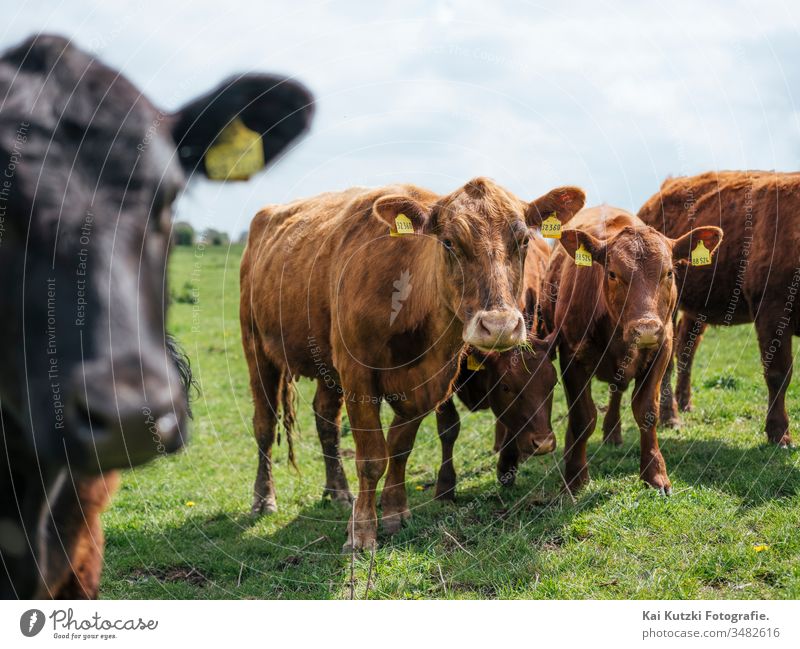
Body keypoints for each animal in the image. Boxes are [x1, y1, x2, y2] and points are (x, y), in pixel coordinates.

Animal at [241, 177, 584, 548]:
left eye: (523, 240)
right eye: (448, 242)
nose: (500, 326)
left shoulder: (428, 384)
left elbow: (400, 448)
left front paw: (393, 512)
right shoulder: (358, 377)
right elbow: (372, 457)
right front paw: (362, 531)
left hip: (323, 364)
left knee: (326, 420)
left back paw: (339, 492)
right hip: (256, 347)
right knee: (264, 423)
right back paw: (264, 498)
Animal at [540, 205, 720, 494]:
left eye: (669, 272)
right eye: (613, 273)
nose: (646, 329)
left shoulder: (662, 348)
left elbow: (647, 411)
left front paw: (655, 474)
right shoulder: (570, 356)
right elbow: (581, 418)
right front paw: (576, 478)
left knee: (617, 391)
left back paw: (613, 433)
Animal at [636, 172, 800, 446]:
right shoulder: (771, 308)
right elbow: (778, 374)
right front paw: (780, 433)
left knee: (686, 348)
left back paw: (685, 403)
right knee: (668, 360)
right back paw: (671, 416)